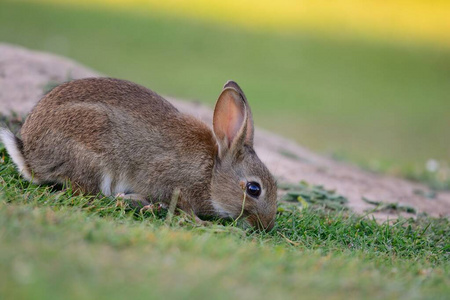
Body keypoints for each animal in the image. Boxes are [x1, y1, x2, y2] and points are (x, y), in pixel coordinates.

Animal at [0, 77, 278, 230]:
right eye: (254, 189)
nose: (266, 225)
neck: (211, 173)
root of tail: (30, 157)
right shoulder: (172, 181)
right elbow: (184, 208)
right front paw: (204, 224)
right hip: (94, 155)